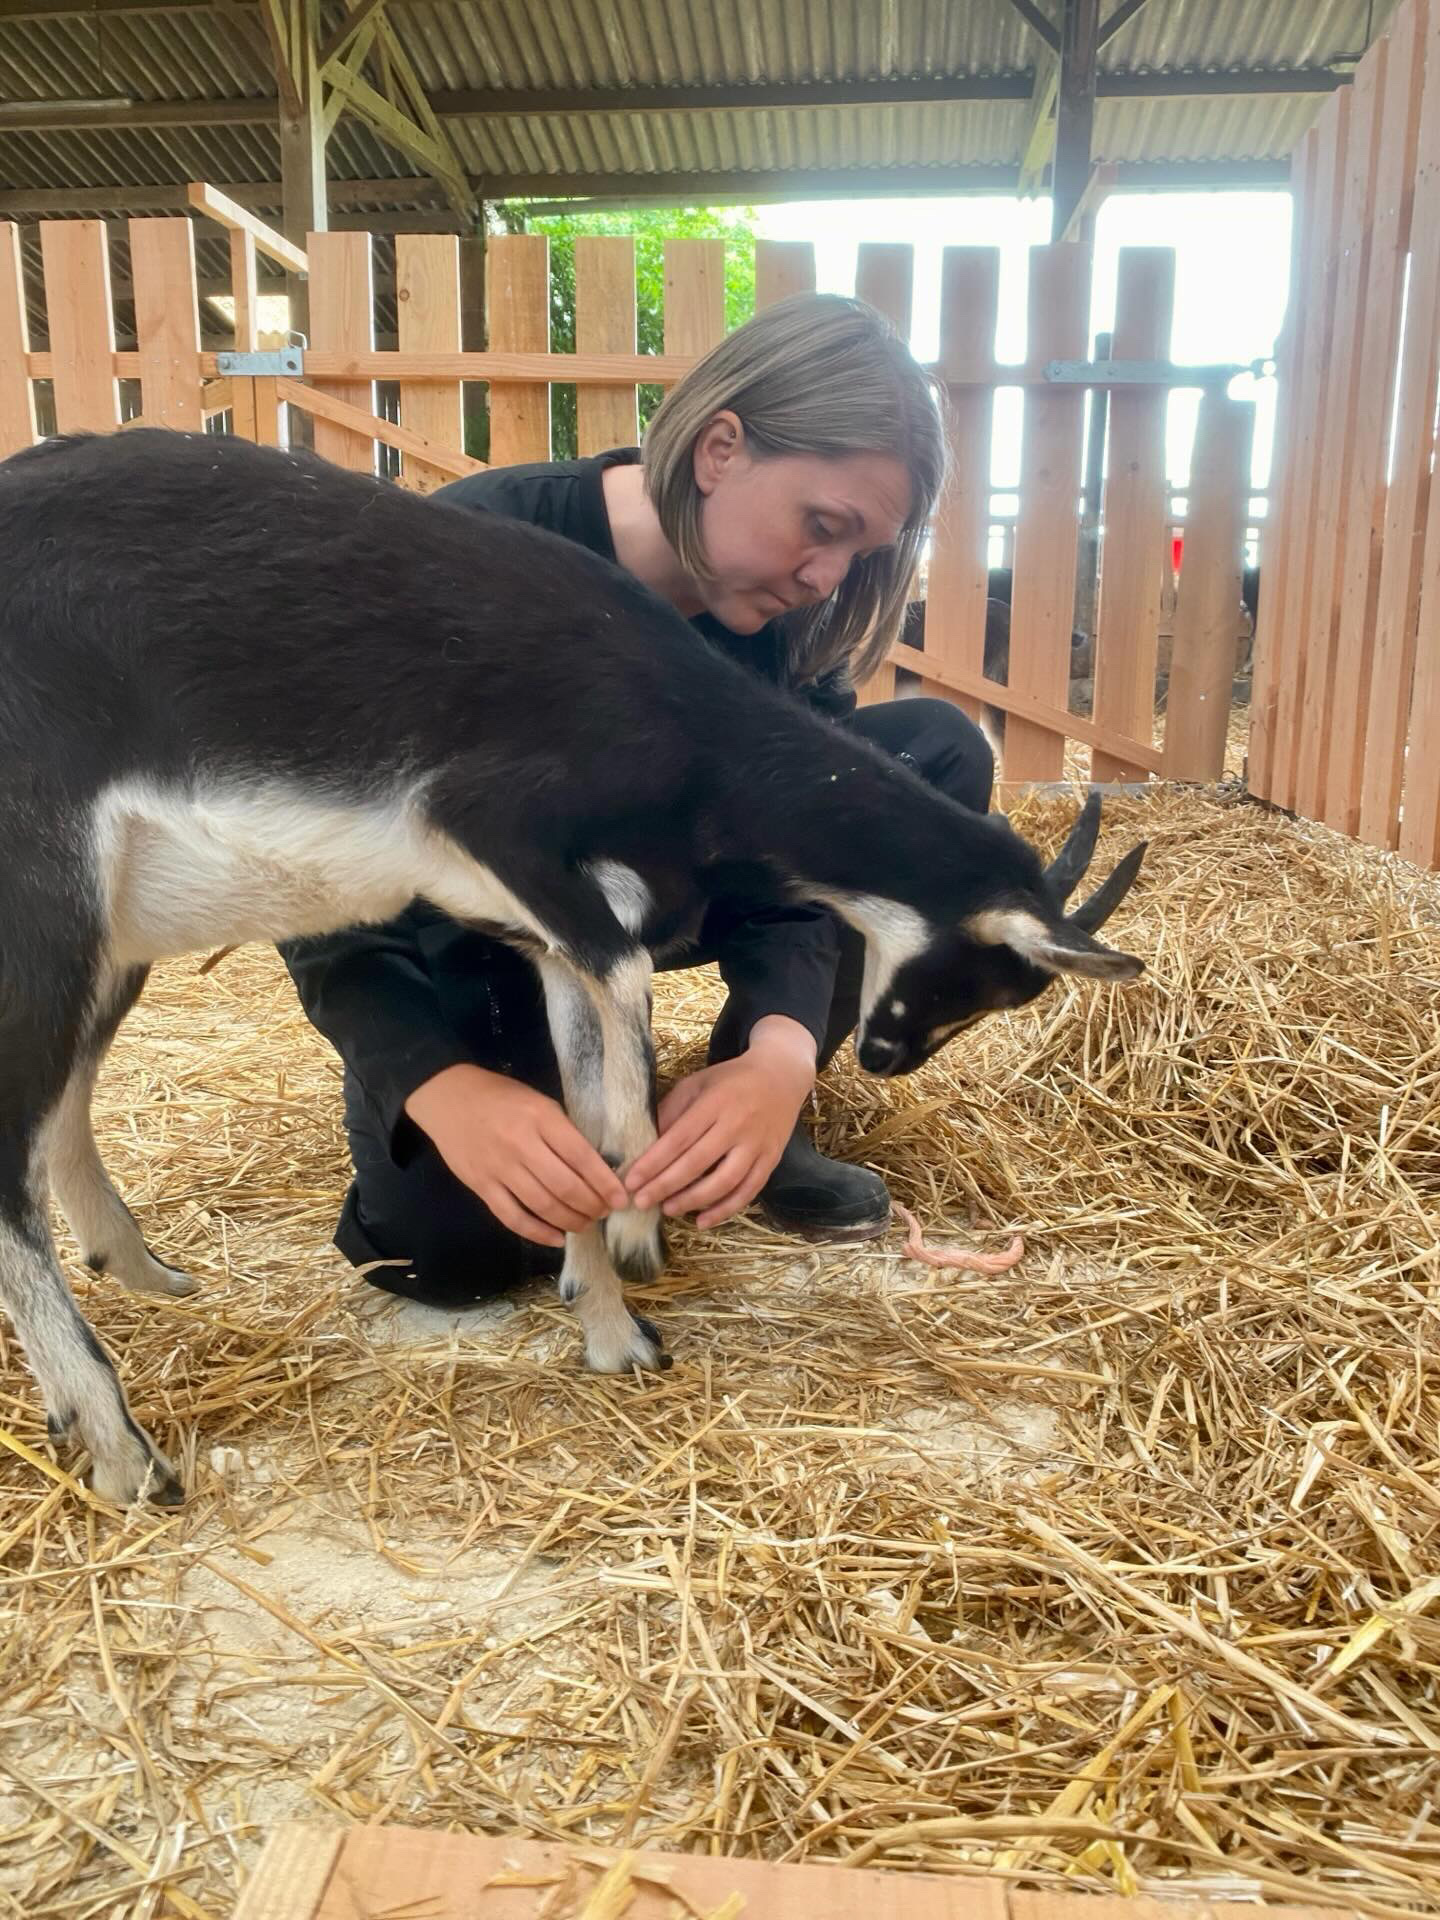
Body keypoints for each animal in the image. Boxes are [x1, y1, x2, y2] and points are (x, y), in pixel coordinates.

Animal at [0, 428, 1147, 1506]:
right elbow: (628, 1021)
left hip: (109, 950)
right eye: (989, 974)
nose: (888, 1057)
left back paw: (143, 1275)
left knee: (63, 1112)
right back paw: (125, 1456)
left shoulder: (550, 935)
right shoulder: (500, 837)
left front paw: (612, 1327)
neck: (681, 728)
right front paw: (640, 1228)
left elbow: (590, 1107)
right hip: (45, 910)